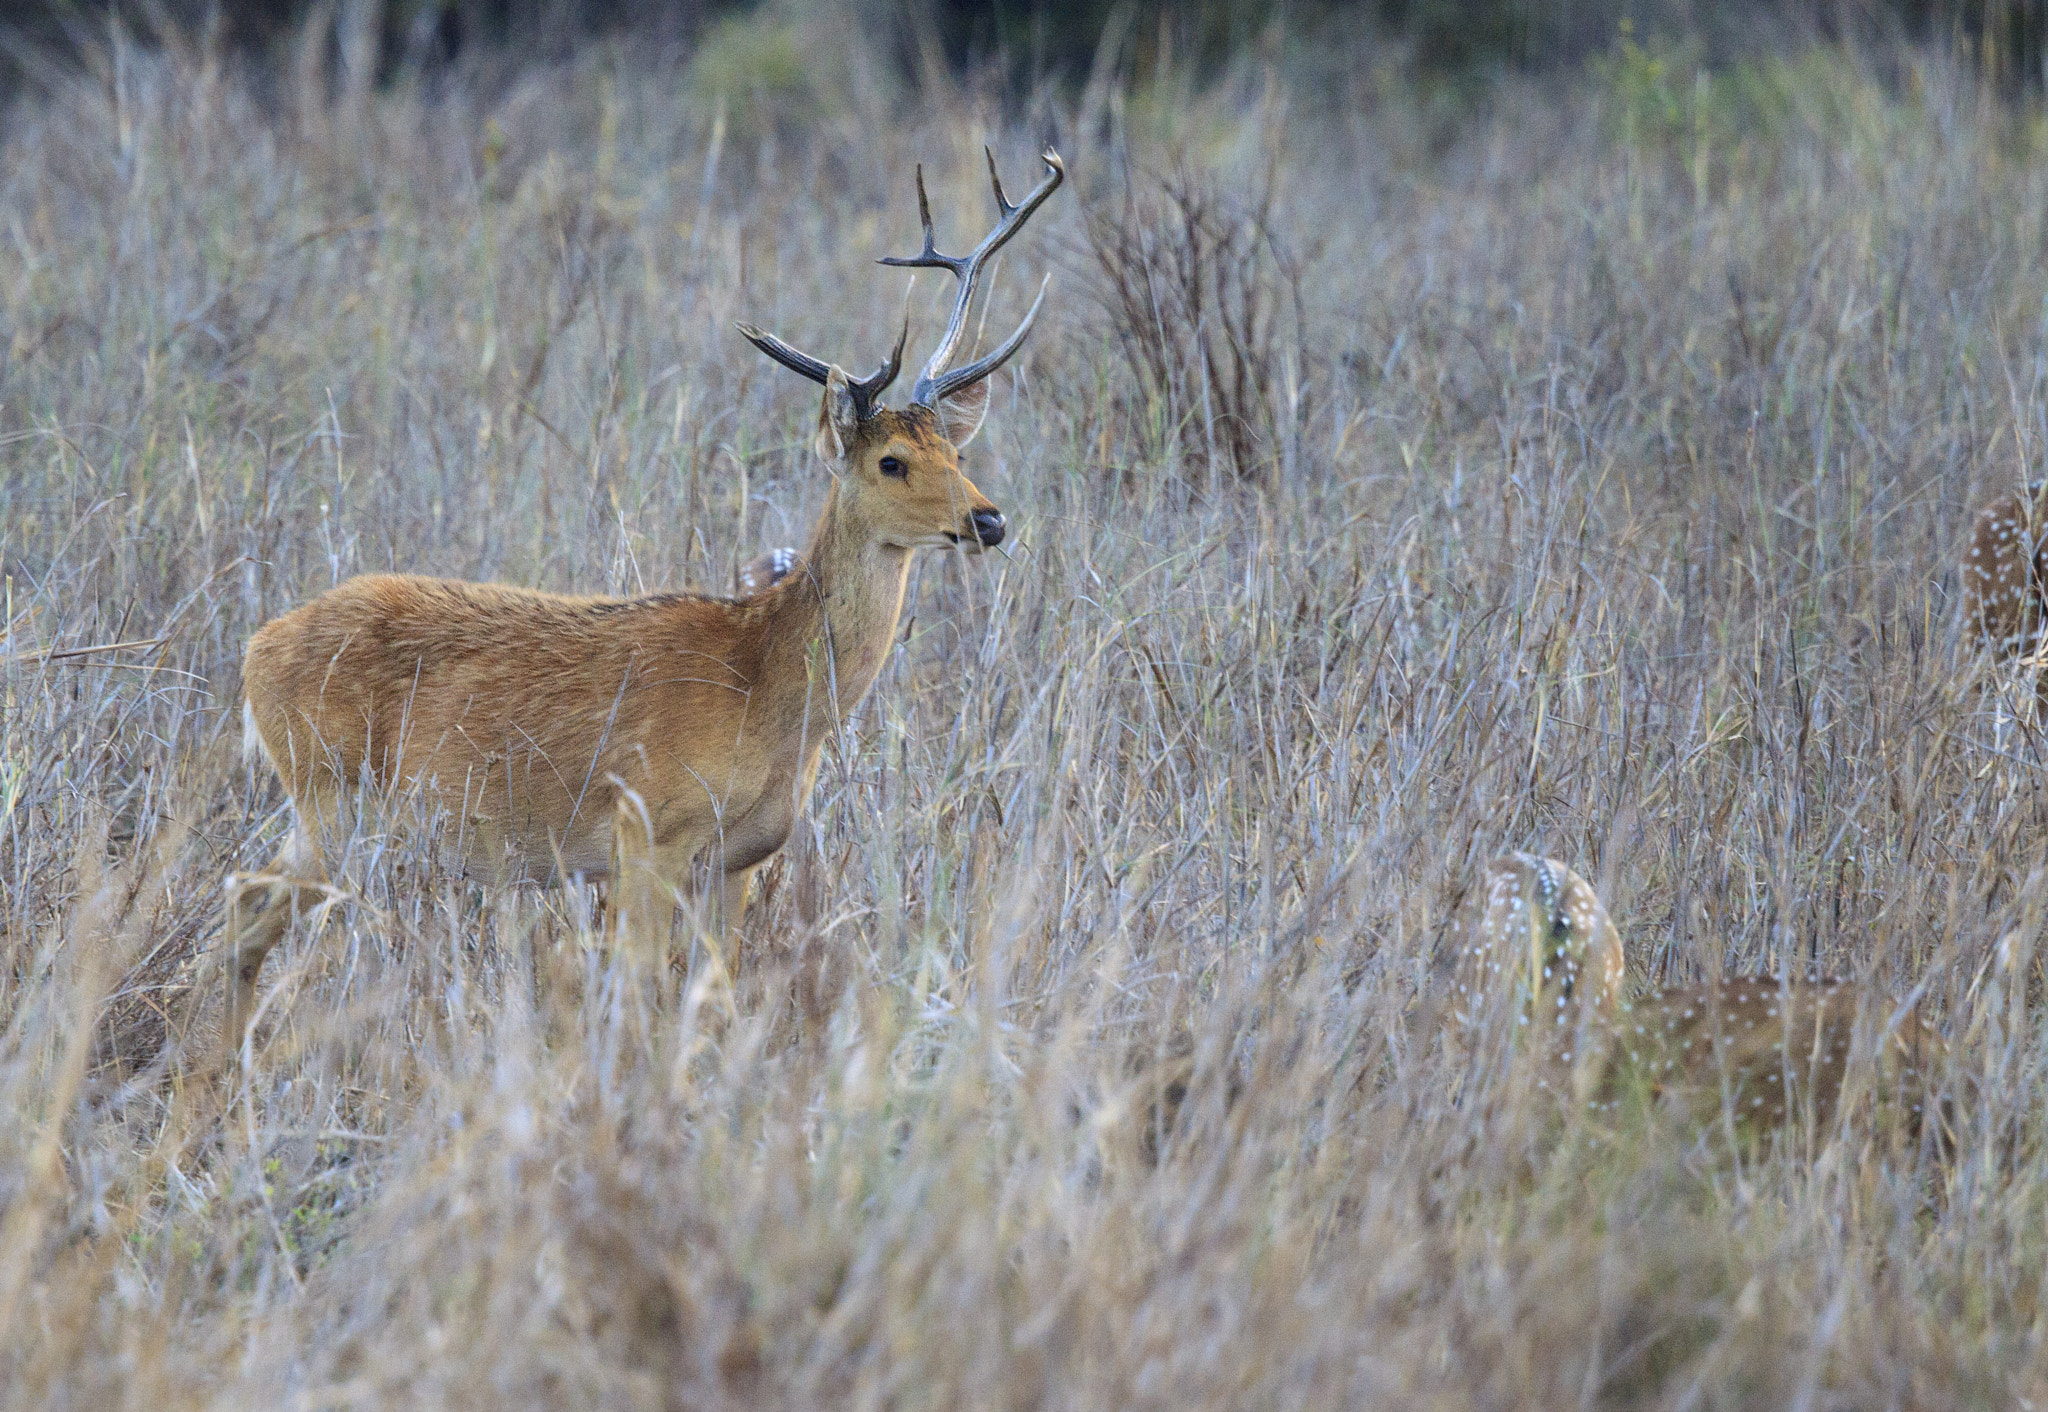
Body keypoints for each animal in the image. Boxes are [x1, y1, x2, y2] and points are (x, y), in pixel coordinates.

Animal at [220, 145, 1073, 1065]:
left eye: (956, 451)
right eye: (890, 461)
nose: (988, 520)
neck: (766, 689)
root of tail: (257, 647)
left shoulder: (738, 862)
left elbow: (713, 999)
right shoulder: (644, 836)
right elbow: (633, 1001)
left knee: (240, 906)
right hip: (333, 797)